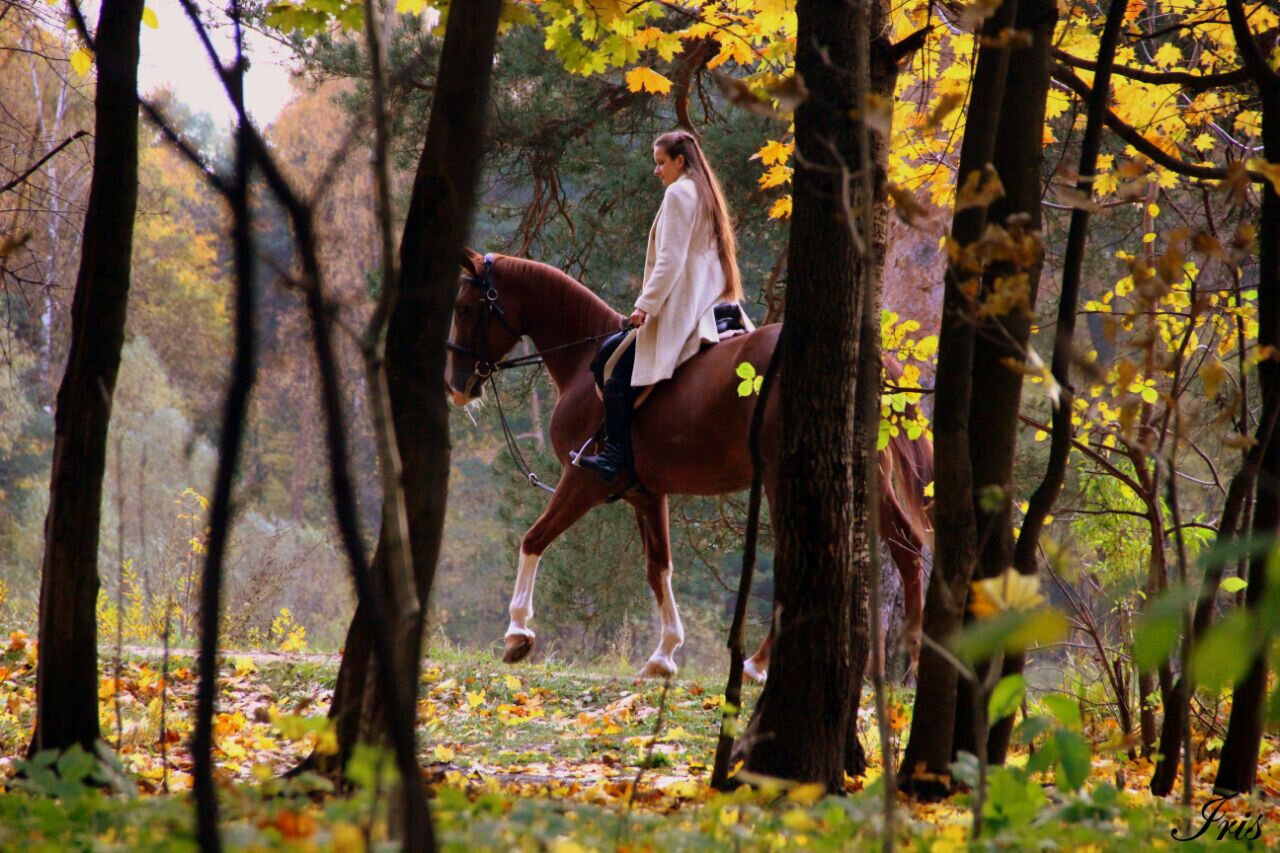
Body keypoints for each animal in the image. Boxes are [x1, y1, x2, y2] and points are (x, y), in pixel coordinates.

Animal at [442, 249, 931, 676]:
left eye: (465, 308)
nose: (456, 387)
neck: (584, 362)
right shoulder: (644, 494)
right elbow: (658, 567)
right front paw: (664, 654)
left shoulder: (583, 481)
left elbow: (533, 539)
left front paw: (517, 634)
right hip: (868, 476)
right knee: (907, 548)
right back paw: (910, 653)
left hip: (784, 478)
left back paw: (756, 665)